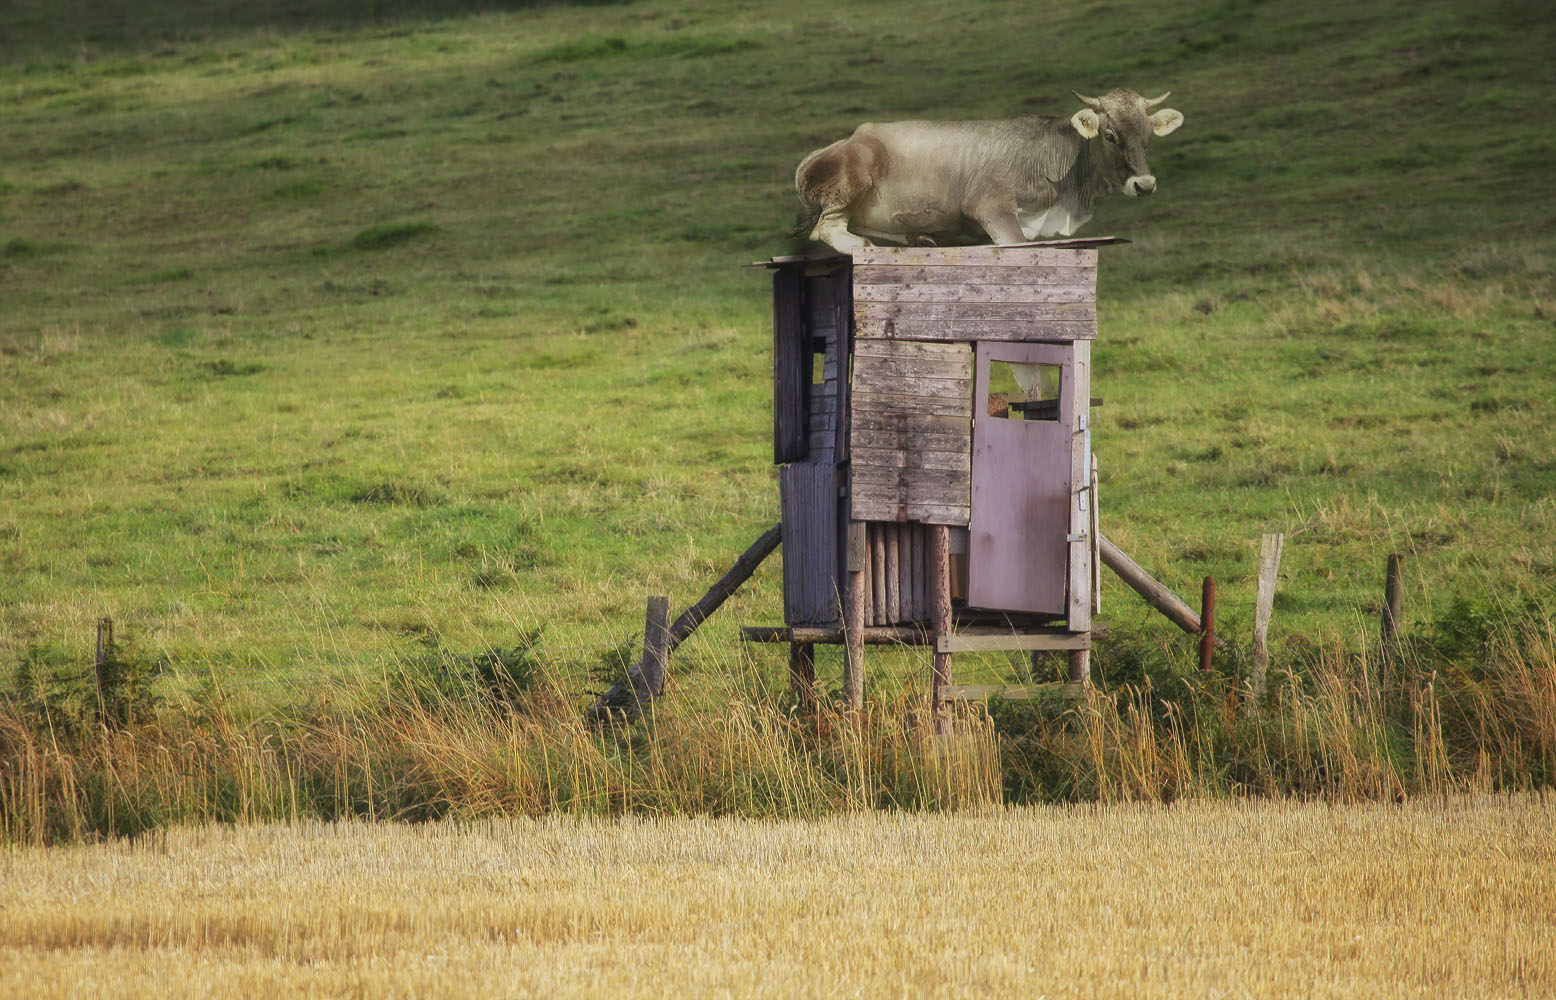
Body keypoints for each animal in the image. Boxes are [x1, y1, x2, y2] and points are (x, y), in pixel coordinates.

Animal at [796, 88, 1182, 251]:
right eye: (1110, 135)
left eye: (1148, 136)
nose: (1145, 184)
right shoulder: (989, 205)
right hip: (852, 180)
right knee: (826, 230)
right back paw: (865, 246)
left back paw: (919, 237)